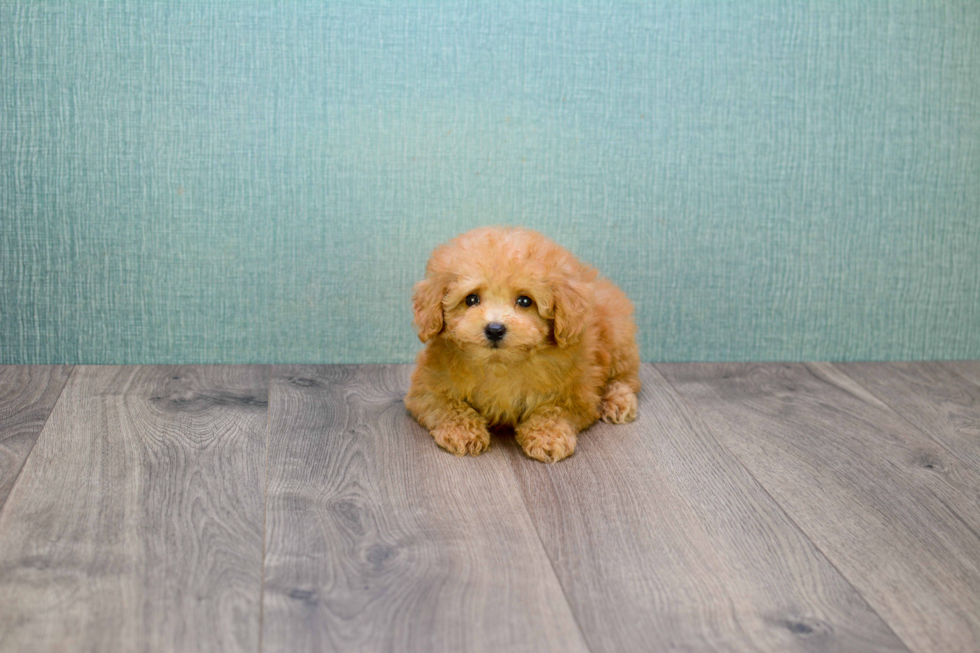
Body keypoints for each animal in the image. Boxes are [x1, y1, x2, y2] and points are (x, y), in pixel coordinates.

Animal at [402, 227, 640, 460]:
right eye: (471, 299)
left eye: (525, 301)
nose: (494, 329)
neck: (499, 364)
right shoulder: (427, 388)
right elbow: (447, 406)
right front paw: (463, 432)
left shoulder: (579, 393)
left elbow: (554, 409)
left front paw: (547, 436)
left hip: (617, 338)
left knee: (626, 378)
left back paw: (618, 401)